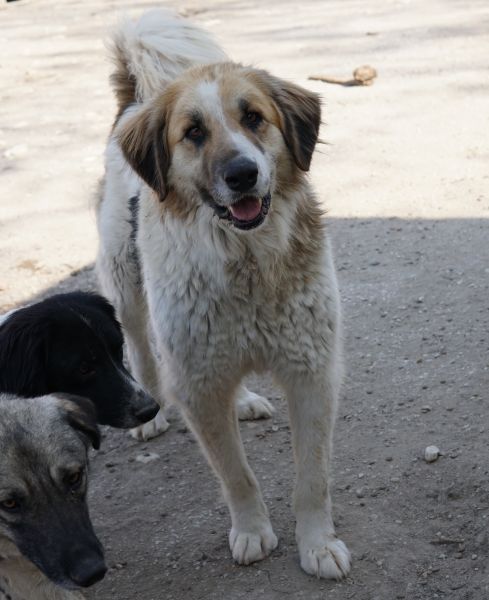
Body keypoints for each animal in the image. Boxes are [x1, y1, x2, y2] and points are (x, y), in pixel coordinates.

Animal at [97, 10, 351, 579]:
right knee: (141, 354)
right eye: (193, 133)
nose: (242, 175)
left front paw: (317, 544)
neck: (246, 263)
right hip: (126, 294)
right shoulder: (197, 383)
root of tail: (133, 105)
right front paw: (253, 532)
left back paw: (247, 401)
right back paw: (154, 413)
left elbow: (314, 478)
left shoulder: (311, 372)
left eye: (254, 117)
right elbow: (236, 474)